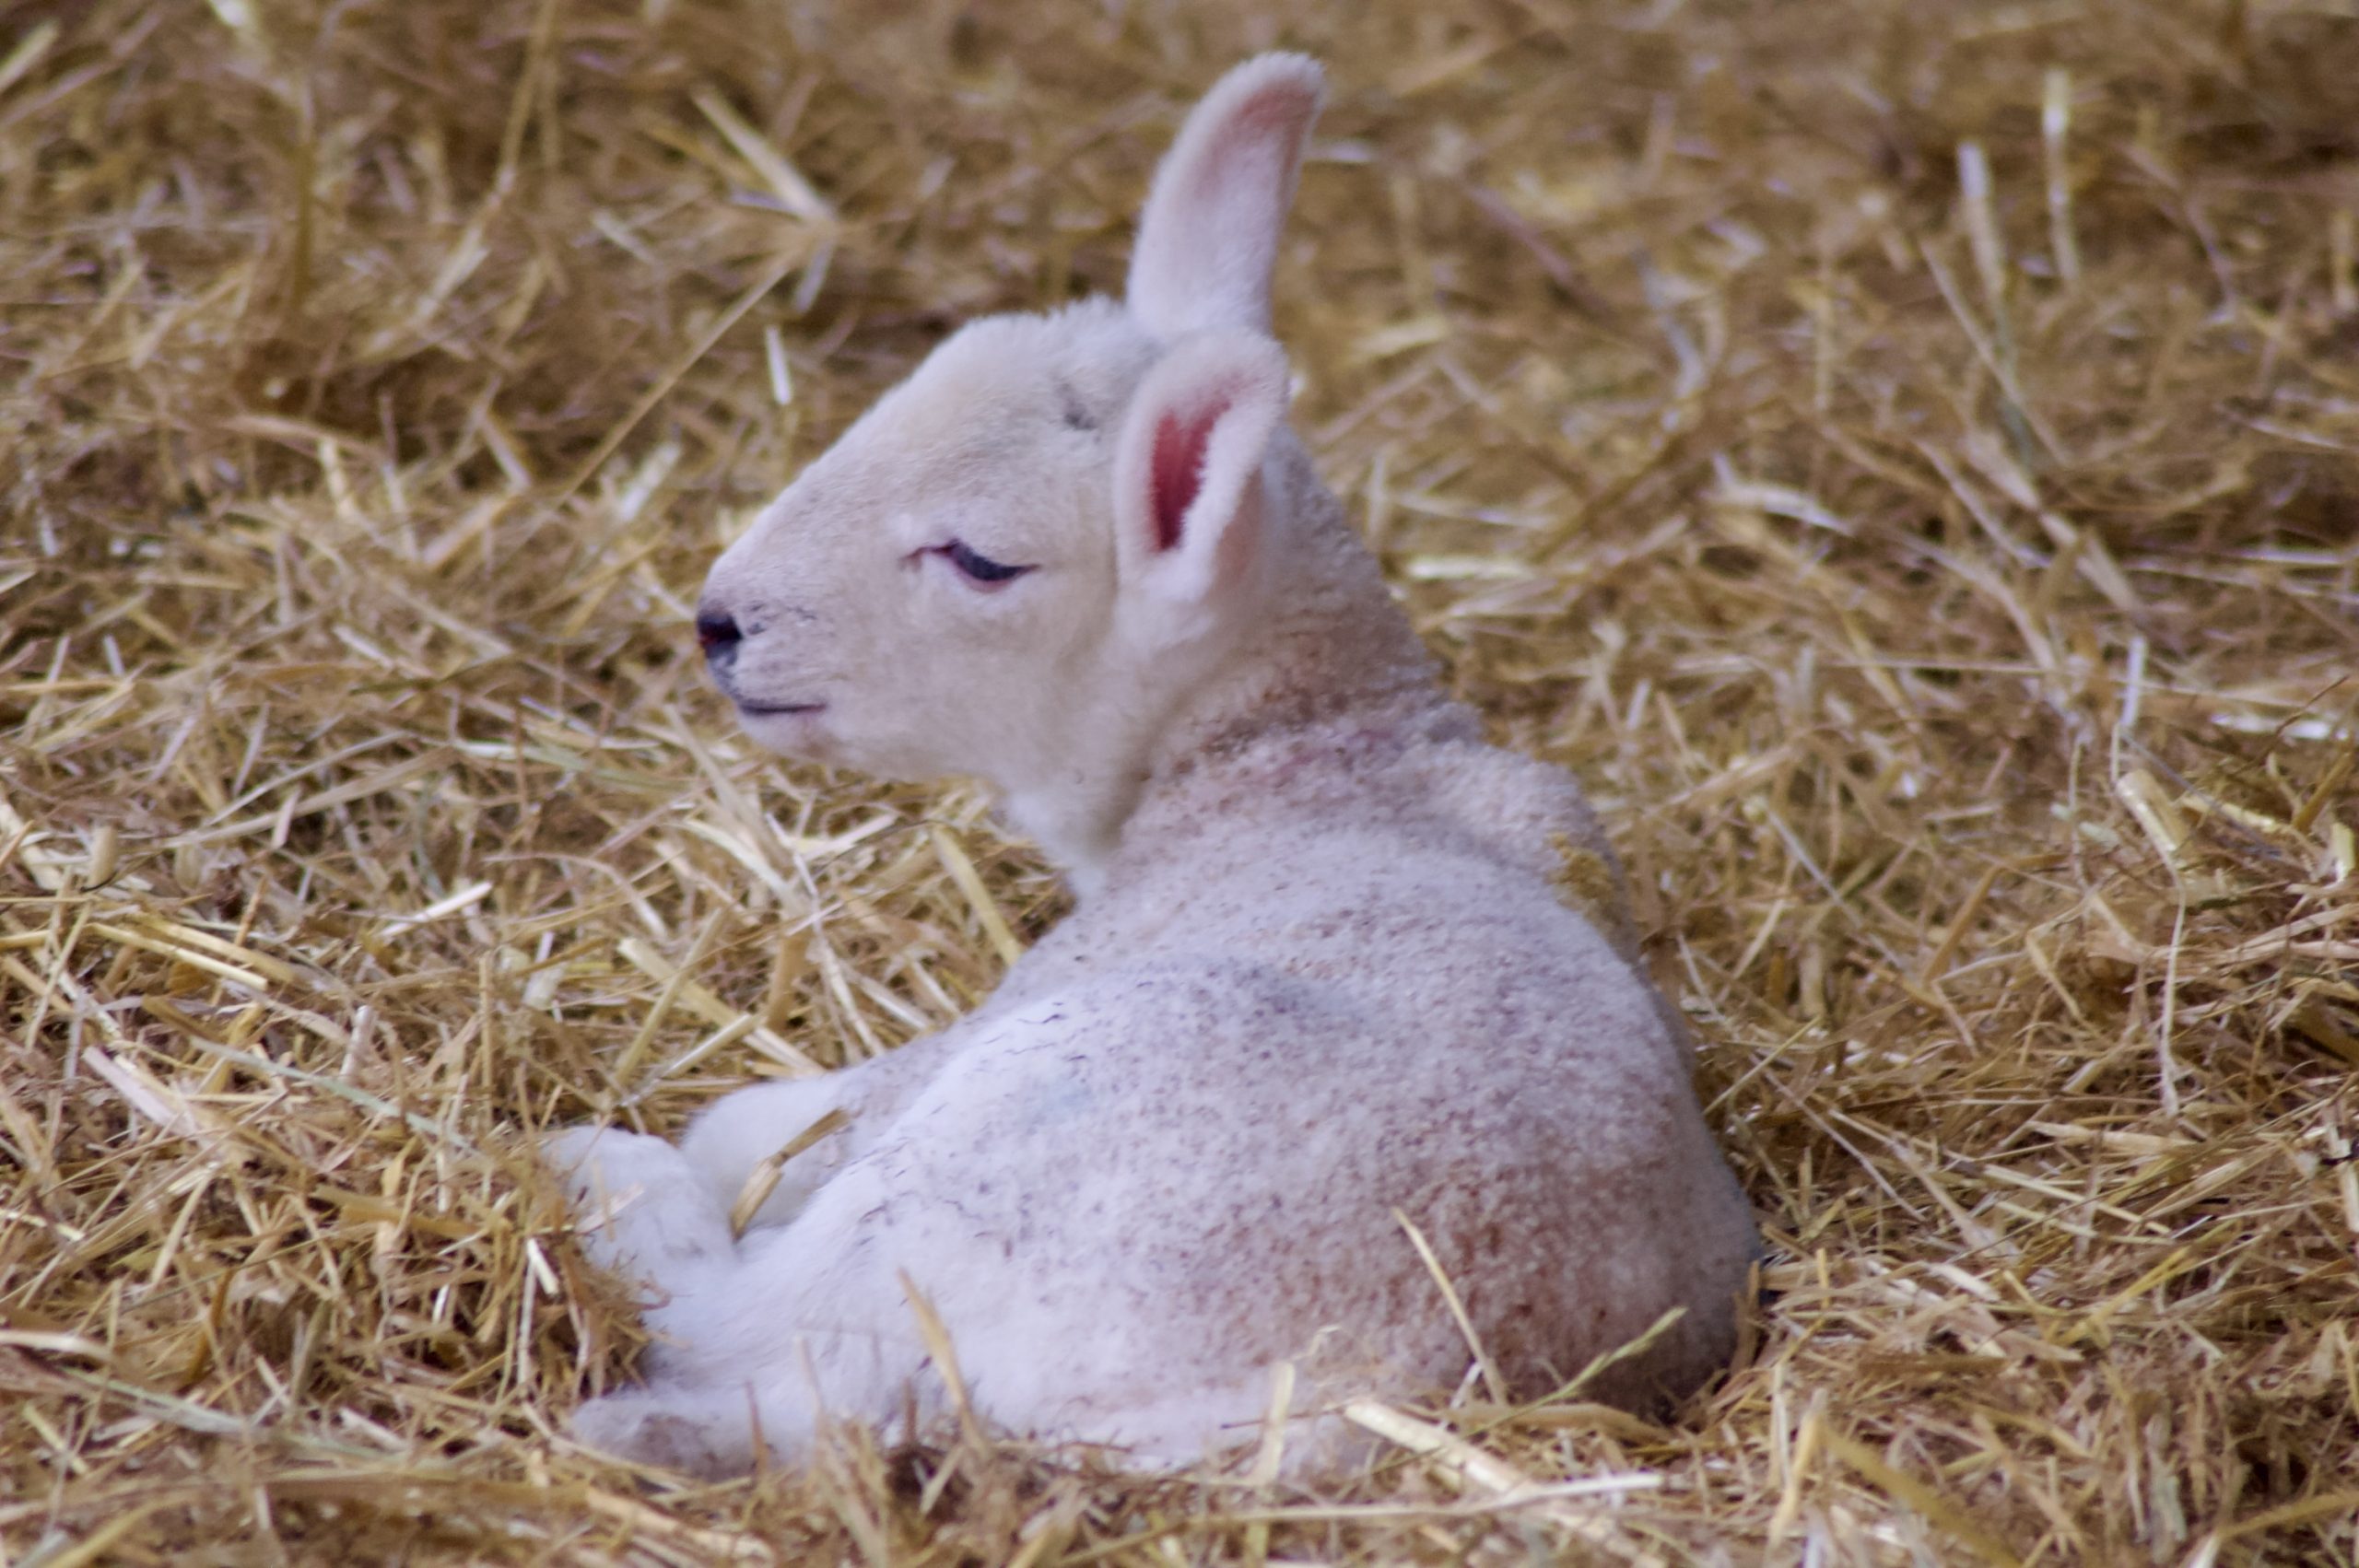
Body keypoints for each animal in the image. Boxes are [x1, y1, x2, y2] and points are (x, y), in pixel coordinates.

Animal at [545, 52, 1759, 1479]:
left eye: (980, 559)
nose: (720, 623)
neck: (1304, 754)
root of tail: (1361, 1377)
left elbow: (749, 1122)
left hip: (1008, 1139)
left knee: (748, 1324)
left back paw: (602, 1177)